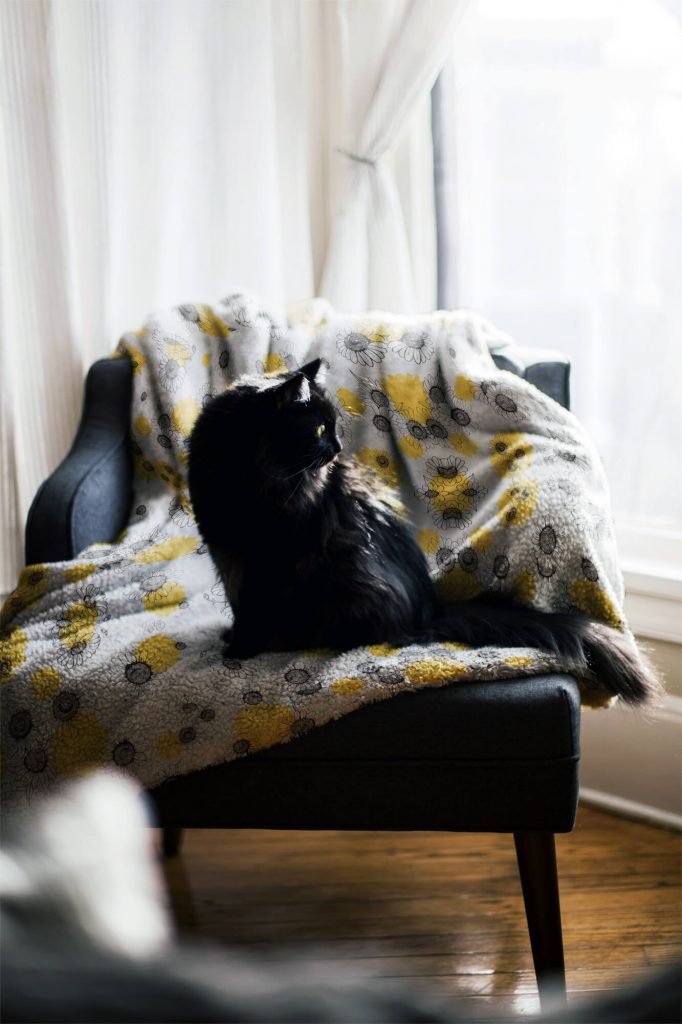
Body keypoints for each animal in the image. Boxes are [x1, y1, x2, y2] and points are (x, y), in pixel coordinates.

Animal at [188, 360, 655, 704]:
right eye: (319, 430)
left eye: (333, 427)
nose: (337, 449)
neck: (242, 478)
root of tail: (429, 610)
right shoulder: (226, 551)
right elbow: (240, 604)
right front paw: (234, 640)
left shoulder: (270, 558)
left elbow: (254, 609)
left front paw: (239, 650)